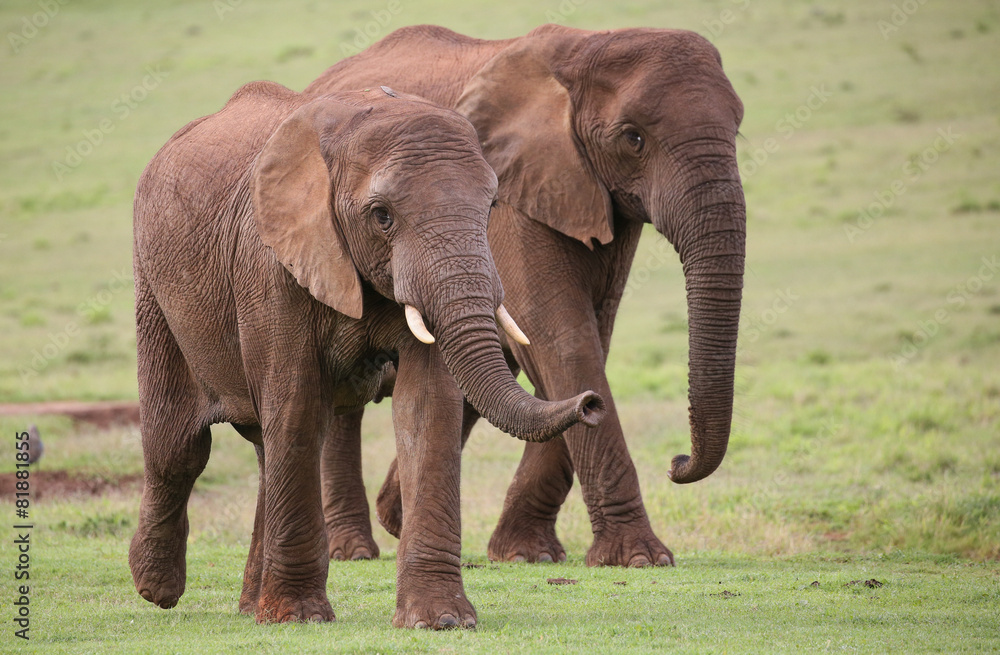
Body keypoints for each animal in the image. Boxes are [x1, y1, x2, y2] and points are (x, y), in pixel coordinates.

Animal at [128, 80, 606, 628]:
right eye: (382, 216)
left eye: (490, 209)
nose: (591, 403)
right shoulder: (272, 264)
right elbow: (297, 406)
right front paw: (300, 617)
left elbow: (426, 408)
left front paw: (440, 620)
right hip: (153, 287)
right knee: (180, 447)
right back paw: (157, 589)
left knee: (263, 447)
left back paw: (252, 607)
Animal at [305, 24, 746, 567]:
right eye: (634, 138)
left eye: (738, 129)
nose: (677, 462)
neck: (586, 47)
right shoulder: (516, 199)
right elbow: (560, 338)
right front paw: (639, 558)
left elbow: (585, 339)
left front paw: (523, 554)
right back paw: (353, 551)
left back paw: (393, 519)